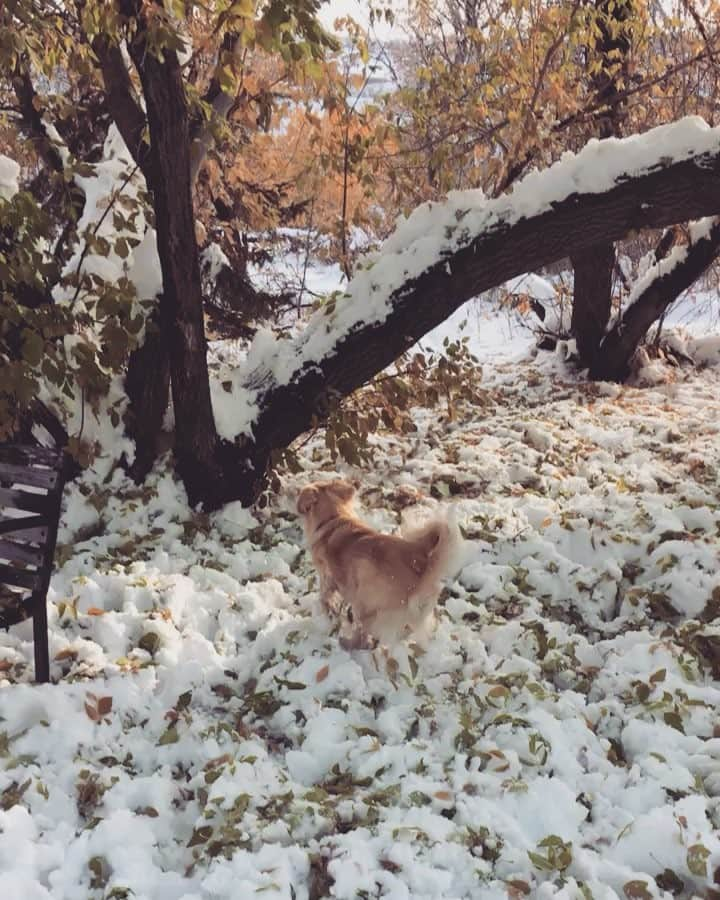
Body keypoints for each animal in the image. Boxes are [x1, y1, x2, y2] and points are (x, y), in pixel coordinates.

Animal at [296, 478, 456, 648]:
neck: (333, 518)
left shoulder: (326, 575)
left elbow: (324, 595)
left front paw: (327, 609)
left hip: (362, 600)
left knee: (362, 636)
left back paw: (347, 643)